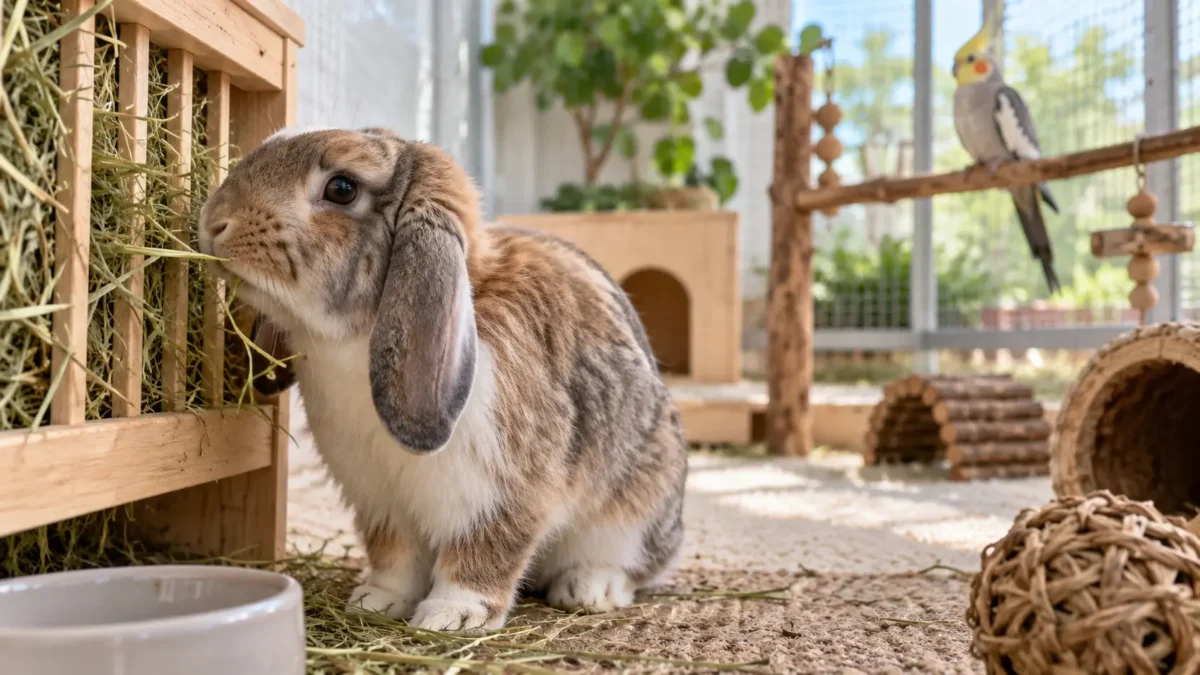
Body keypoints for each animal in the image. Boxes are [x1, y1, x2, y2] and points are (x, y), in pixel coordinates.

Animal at [197, 127, 688, 632]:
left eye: (342, 188)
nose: (214, 222)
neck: (357, 337)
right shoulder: (382, 502)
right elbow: (395, 558)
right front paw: (375, 602)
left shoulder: (501, 495)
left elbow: (486, 552)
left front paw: (450, 616)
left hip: (632, 514)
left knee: (632, 563)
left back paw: (588, 589)